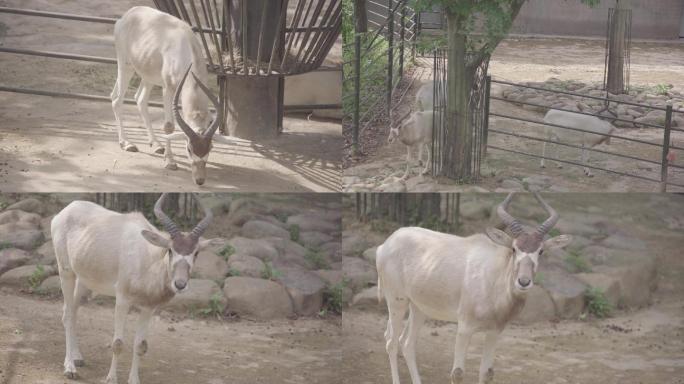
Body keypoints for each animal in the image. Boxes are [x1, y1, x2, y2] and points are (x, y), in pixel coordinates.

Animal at [52, 194, 222, 382]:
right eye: (170, 250)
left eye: (196, 253)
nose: (180, 284)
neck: (148, 258)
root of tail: (66, 210)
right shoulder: (122, 300)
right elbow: (118, 343)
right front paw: (111, 379)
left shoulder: (148, 308)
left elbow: (140, 345)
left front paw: (133, 380)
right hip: (66, 272)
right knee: (68, 315)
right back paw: (70, 368)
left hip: (85, 282)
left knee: (72, 311)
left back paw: (77, 357)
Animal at [111, 5, 231, 186]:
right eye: (189, 148)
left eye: (210, 148)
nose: (200, 180)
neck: (185, 49)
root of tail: (127, 15)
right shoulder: (168, 89)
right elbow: (169, 126)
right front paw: (170, 162)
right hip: (126, 66)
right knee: (117, 100)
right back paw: (127, 143)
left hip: (148, 75)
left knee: (139, 99)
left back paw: (157, 144)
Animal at [376, 195, 576, 384]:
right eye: (514, 249)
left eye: (540, 251)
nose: (524, 281)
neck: (493, 276)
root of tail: (385, 245)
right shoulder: (464, 328)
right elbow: (457, 374)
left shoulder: (494, 332)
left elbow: (487, 373)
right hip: (397, 302)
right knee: (391, 342)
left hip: (419, 308)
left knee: (407, 343)